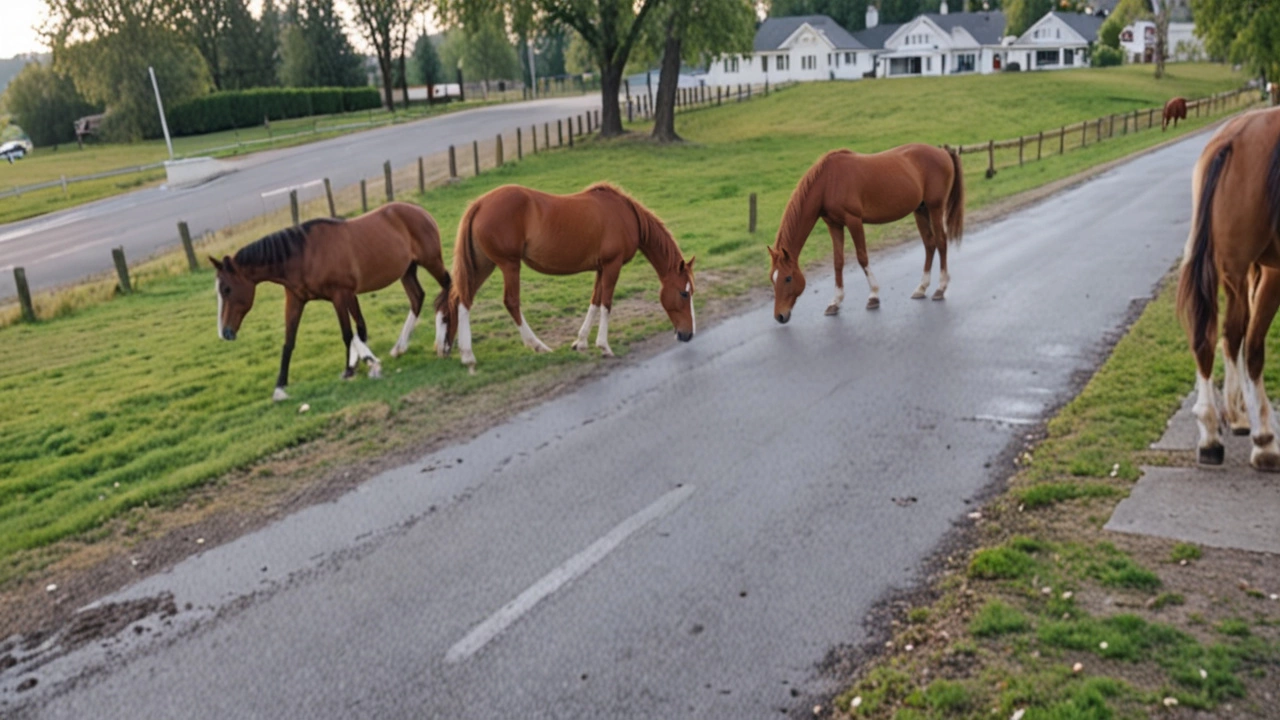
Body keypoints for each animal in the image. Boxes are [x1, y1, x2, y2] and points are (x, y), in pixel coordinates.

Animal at [211, 199, 450, 397]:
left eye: (226, 289)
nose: (225, 333)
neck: (304, 256)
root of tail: (419, 211)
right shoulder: (297, 300)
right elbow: (290, 341)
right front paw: (280, 385)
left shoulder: (340, 295)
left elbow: (348, 333)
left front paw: (351, 369)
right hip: (407, 270)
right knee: (417, 298)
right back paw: (400, 347)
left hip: (431, 261)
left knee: (448, 288)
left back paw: (444, 342)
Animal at [442, 181, 701, 366]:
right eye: (684, 293)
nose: (688, 334)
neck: (625, 214)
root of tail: (479, 204)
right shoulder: (612, 265)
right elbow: (606, 303)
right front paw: (604, 346)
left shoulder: (601, 268)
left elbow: (595, 301)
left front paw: (581, 342)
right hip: (509, 265)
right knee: (511, 302)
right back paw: (537, 345)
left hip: (484, 264)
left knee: (463, 299)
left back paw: (466, 354)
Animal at [762, 143, 962, 322]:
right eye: (773, 278)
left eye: (788, 278)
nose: (780, 316)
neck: (828, 182)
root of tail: (943, 152)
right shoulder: (834, 225)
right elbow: (838, 262)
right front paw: (835, 302)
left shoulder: (854, 221)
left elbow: (862, 257)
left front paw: (873, 296)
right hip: (920, 210)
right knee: (929, 244)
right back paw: (922, 288)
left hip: (935, 208)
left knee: (941, 242)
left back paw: (940, 288)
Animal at [1172, 105, 1280, 466]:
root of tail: (1231, 141)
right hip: (1252, 271)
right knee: (1246, 341)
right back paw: (1263, 439)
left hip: (1229, 267)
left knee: (1214, 338)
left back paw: (1213, 433)